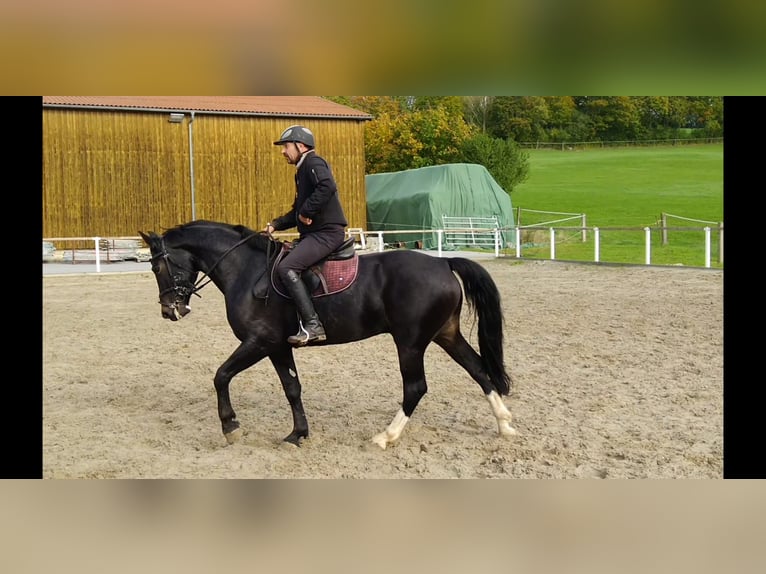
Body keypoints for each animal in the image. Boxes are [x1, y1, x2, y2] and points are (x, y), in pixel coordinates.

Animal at [141, 220, 520, 450]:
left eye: (157, 266)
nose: (169, 311)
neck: (246, 271)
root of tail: (443, 262)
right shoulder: (278, 347)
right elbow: (292, 388)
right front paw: (298, 434)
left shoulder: (259, 342)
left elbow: (221, 376)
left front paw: (230, 427)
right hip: (445, 334)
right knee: (479, 370)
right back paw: (504, 425)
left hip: (410, 343)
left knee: (416, 387)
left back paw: (386, 436)